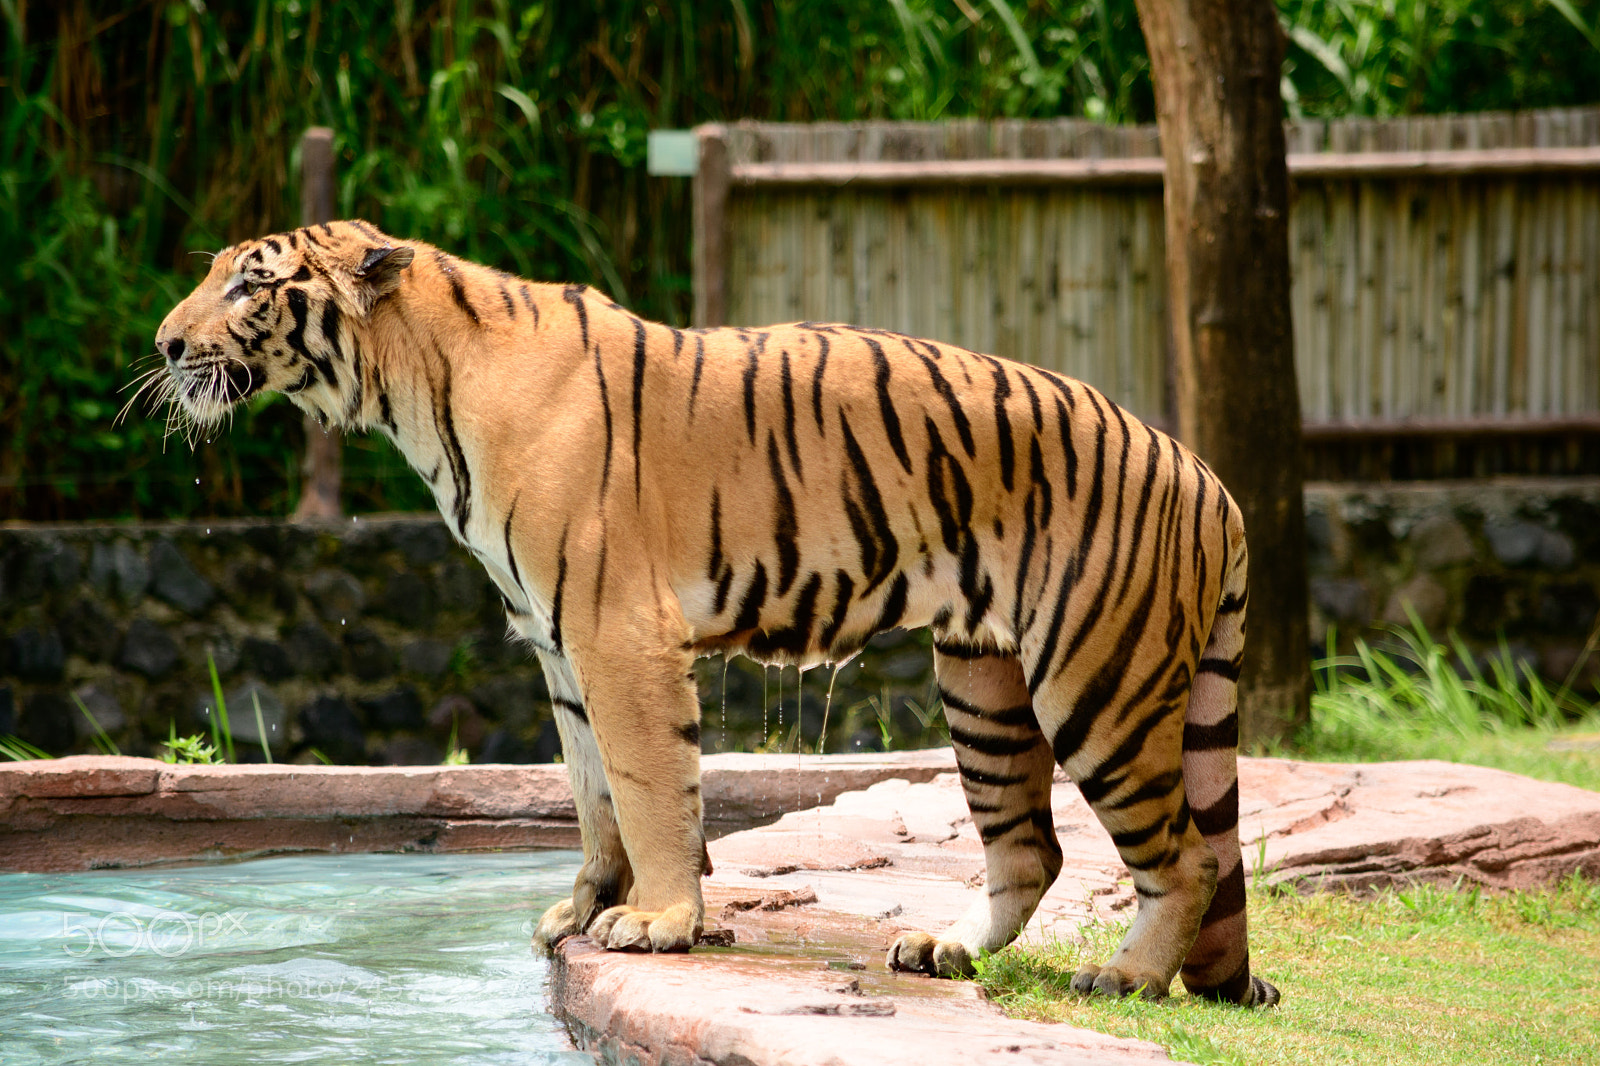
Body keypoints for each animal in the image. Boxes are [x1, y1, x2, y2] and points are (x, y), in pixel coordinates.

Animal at [149, 219, 1277, 1007]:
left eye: (251, 282)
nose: (161, 345)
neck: (412, 393)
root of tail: (1207, 474)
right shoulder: (555, 643)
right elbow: (590, 787)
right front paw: (584, 904)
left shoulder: (615, 630)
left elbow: (649, 785)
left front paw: (655, 921)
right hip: (984, 687)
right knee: (1031, 848)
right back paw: (943, 947)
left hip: (1096, 679)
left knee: (1186, 854)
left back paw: (1125, 977)